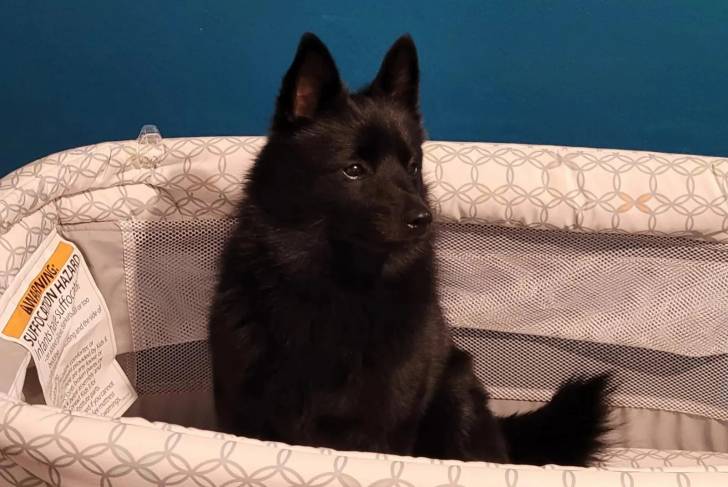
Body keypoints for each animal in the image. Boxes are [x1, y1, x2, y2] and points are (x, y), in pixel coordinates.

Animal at [208, 32, 613, 466]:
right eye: (354, 169)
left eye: (412, 166)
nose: (424, 219)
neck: (336, 286)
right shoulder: (240, 415)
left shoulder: (382, 430)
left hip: (458, 396)